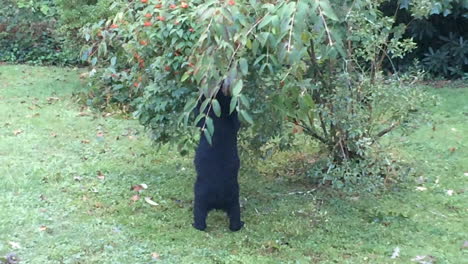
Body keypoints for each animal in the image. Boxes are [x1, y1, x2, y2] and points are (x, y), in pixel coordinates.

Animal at [192, 88, 243, 231]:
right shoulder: (233, 119)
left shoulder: (204, 119)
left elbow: (199, 112)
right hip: (234, 199)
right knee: (235, 216)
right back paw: (238, 225)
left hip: (200, 196)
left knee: (199, 214)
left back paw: (196, 225)